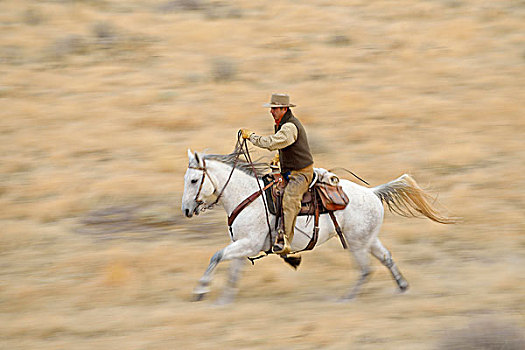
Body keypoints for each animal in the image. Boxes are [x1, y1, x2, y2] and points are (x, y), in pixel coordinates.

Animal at [182, 148, 452, 304]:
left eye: (194, 180)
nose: (186, 210)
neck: (247, 195)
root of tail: (373, 193)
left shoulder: (248, 243)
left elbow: (216, 256)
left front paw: (200, 291)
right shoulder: (243, 245)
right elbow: (233, 271)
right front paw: (225, 300)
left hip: (357, 244)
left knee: (366, 268)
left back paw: (347, 298)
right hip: (367, 239)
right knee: (385, 258)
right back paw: (402, 286)